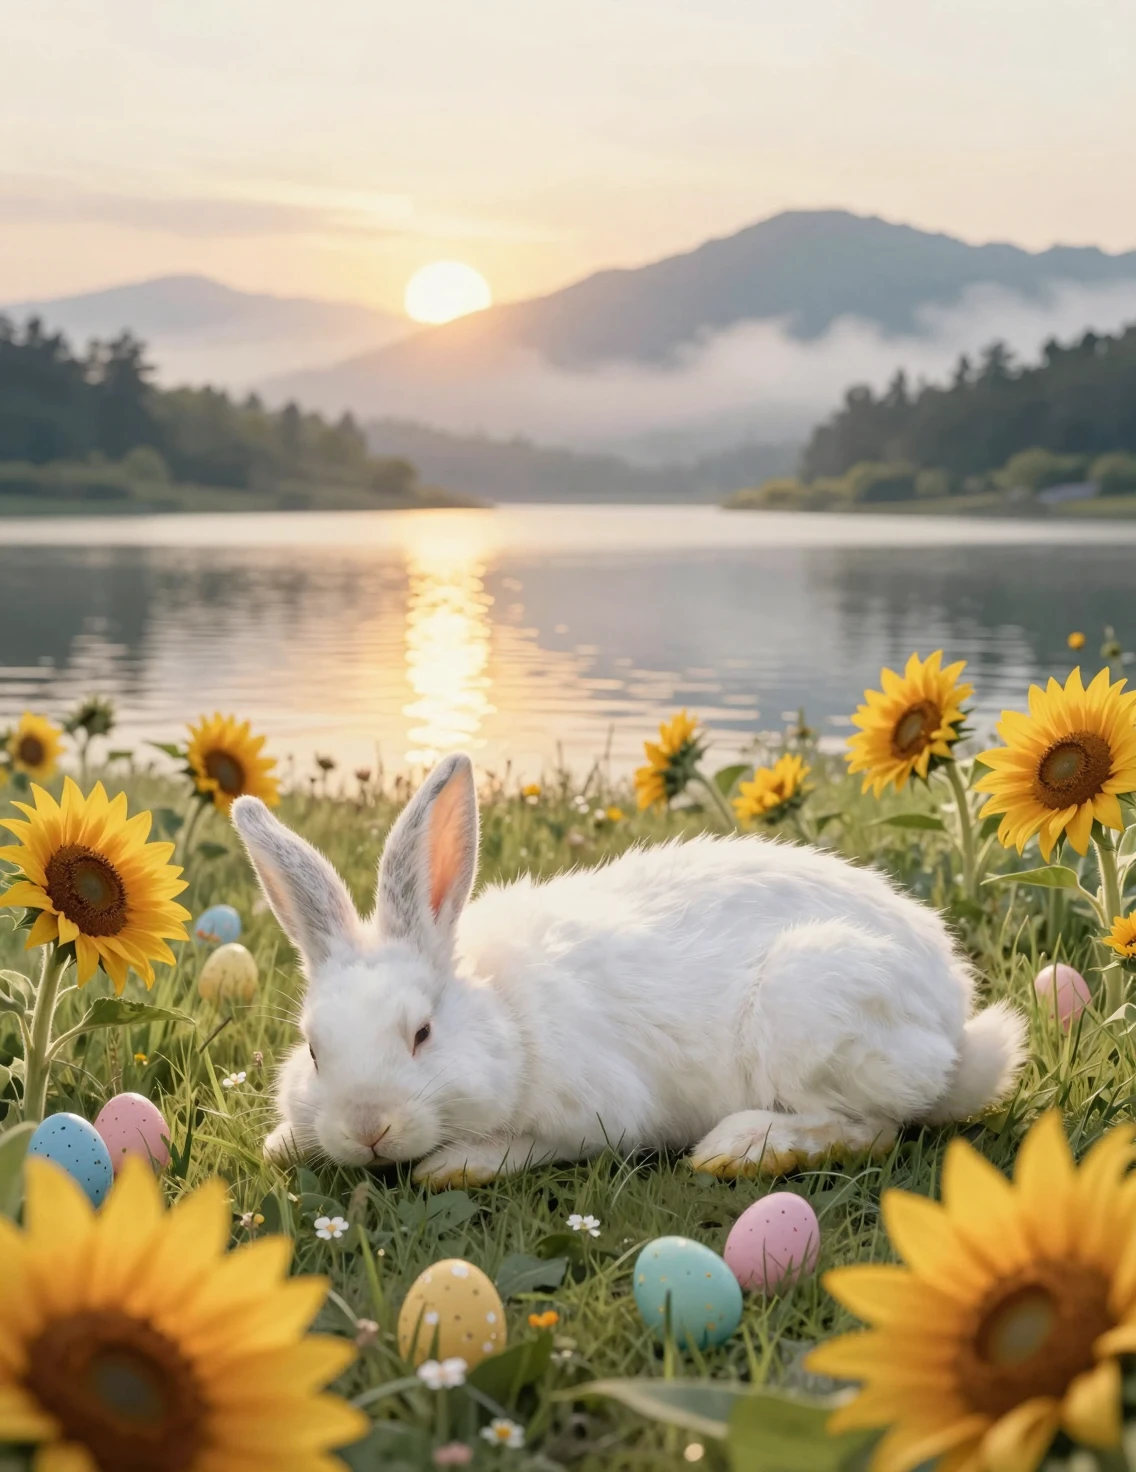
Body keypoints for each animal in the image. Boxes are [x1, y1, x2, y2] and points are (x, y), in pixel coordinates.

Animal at [232, 752, 1026, 1186]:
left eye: (422, 1034)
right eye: (314, 1050)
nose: (368, 1127)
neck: (504, 1015)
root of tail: (955, 1019)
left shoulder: (600, 1113)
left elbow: (534, 1144)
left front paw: (459, 1164)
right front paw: (283, 1143)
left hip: (813, 1011)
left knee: (876, 1126)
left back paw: (741, 1149)